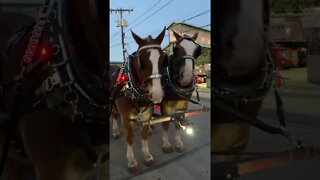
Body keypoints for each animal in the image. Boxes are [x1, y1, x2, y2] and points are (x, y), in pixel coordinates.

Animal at [110, 28, 166, 173]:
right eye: (141, 61)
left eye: (163, 59)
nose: (157, 94)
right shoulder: (126, 116)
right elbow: (130, 138)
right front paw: (131, 161)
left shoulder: (146, 114)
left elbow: (144, 134)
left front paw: (147, 156)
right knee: (114, 115)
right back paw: (115, 131)